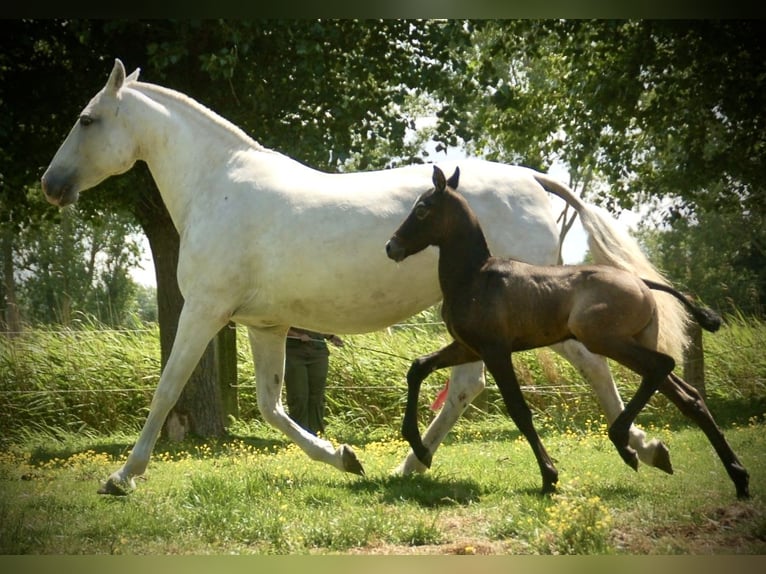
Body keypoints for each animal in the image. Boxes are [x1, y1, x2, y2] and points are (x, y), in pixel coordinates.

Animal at [43, 58, 685, 495]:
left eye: (86, 120)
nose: (51, 185)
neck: (218, 184)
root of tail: (532, 178)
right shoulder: (264, 325)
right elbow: (272, 407)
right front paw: (346, 457)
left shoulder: (204, 310)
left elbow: (167, 390)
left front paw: (122, 477)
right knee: (471, 386)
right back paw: (411, 463)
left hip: (536, 315)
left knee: (591, 367)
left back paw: (643, 447)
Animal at [386, 165, 750, 498]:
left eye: (422, 208)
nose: (392, 247)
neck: (474, 277)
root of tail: (642, 283)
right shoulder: (466, 347)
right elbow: (417, 368)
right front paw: (419, 450)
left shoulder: (495, 350)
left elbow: (519, 410)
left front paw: (549, 476)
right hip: (634, 341)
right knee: (688, 396)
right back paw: (738, 477)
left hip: (606, 340)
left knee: (662, 367)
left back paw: (625, 444)